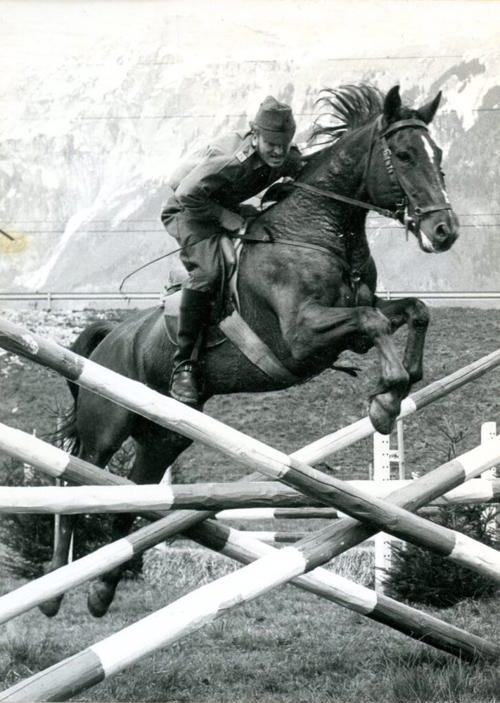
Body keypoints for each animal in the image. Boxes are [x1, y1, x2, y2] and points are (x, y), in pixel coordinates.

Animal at [41, 85, 458, 620]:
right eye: (404, 155)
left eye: (438, 155)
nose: (445, 231)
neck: (316, 231)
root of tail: (111, 337)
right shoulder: (302, 336)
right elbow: (374, 321)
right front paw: (386, 401)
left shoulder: (349, 325)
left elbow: (411, 312)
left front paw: (394, 392)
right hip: (106, 425)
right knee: (76, 482)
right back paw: (54, 589)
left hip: (165, 436)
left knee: (133, 493)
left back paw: (102, 589)